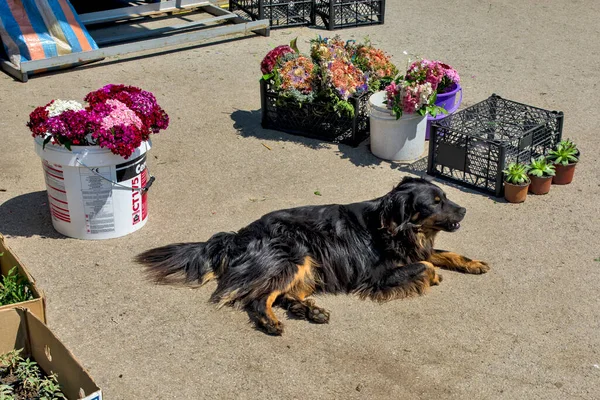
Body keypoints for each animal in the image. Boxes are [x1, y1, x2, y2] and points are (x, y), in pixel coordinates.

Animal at [138, 177, 490, 334]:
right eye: (435, 202)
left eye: (445, 196)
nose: (465, 209)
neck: (397, 227)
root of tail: (237, 236)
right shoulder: (375, 276)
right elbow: (426, 264)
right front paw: (434, 275)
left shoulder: (417, 247)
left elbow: (441, 252)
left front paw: (474, 263)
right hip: (296, 253)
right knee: (259, 298)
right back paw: (271, 322)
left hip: (308, 263)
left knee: (282, 294)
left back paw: (310, 310)